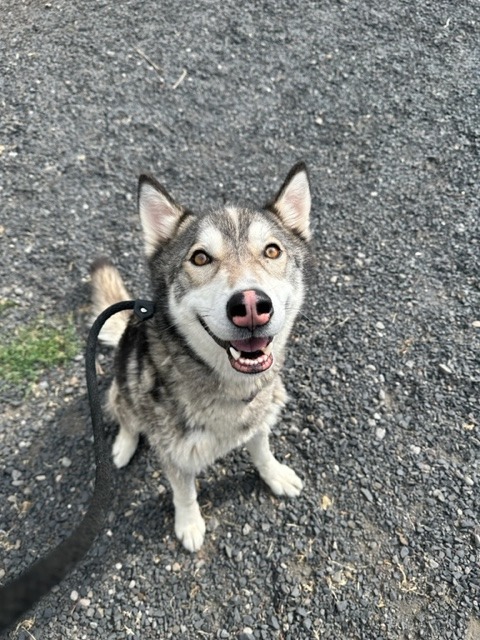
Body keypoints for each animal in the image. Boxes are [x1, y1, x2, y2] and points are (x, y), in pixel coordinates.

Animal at [90, 161, 312, 552]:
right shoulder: (174, 455)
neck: (231, 390)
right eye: (200, 257)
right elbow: (184, 492)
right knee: (126, 417)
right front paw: (189, 523)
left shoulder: (259, 420)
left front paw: (275, 475)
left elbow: (262, 452)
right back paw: (122, 447)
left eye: (272, 251)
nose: (251, 305)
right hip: (123, 388)